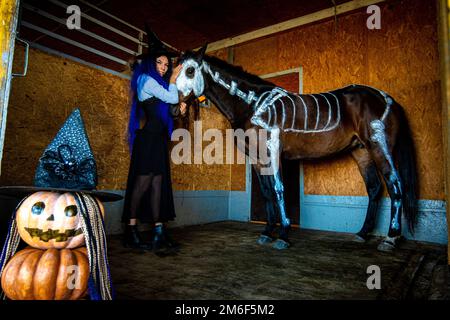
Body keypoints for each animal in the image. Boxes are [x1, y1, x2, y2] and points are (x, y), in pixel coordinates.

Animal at [175, 45, 418, 251]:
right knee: (375, 188)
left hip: (380, 148)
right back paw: (362, 233)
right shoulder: (256, 158)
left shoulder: (273, 152)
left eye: (190, 70)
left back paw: (390, 239)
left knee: (396, 185)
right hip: (361, 151)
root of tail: (388, 99)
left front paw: (283, 235)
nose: (176, 108)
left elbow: (278, 189)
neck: (253, 104)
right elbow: (266, 192)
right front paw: (267, 232)